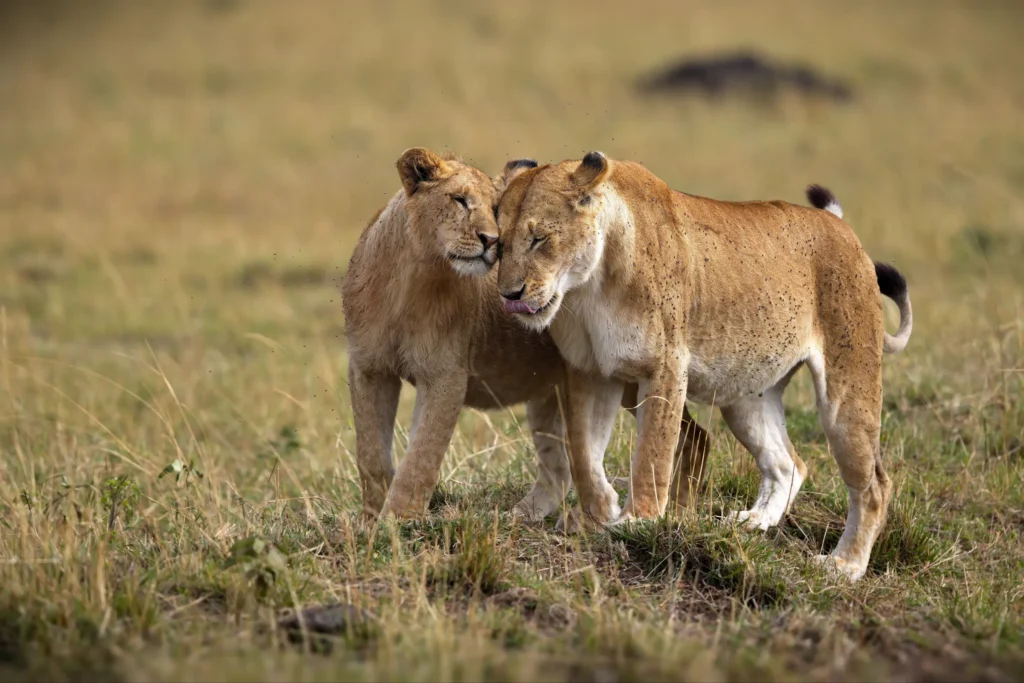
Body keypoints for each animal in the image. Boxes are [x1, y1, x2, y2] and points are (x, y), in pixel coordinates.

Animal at [341, 147, 710, 522]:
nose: (490, 240)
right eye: (459, 200)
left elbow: (421, 458)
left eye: (495, 209)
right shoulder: (367, 368)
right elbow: (371, 455)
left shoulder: (446, 375)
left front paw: (396, 522)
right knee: (560, 469)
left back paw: (677, 512)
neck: (410, 280)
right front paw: (370, 521)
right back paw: (522, 515)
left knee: (693, 436)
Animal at [495, 152, 913, 581]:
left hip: (846, 392)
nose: (509, 294)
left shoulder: (665, 366)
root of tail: (840, 225)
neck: (587, 290)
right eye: (498, 244)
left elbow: (652, 453)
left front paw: (637, 520)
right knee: (788, 463)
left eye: (539, 239)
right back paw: (750, 523)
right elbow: (583, 452)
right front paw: (599, 513)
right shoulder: (590, 372)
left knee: (874, 486)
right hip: (747, 400)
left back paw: (845, 564)